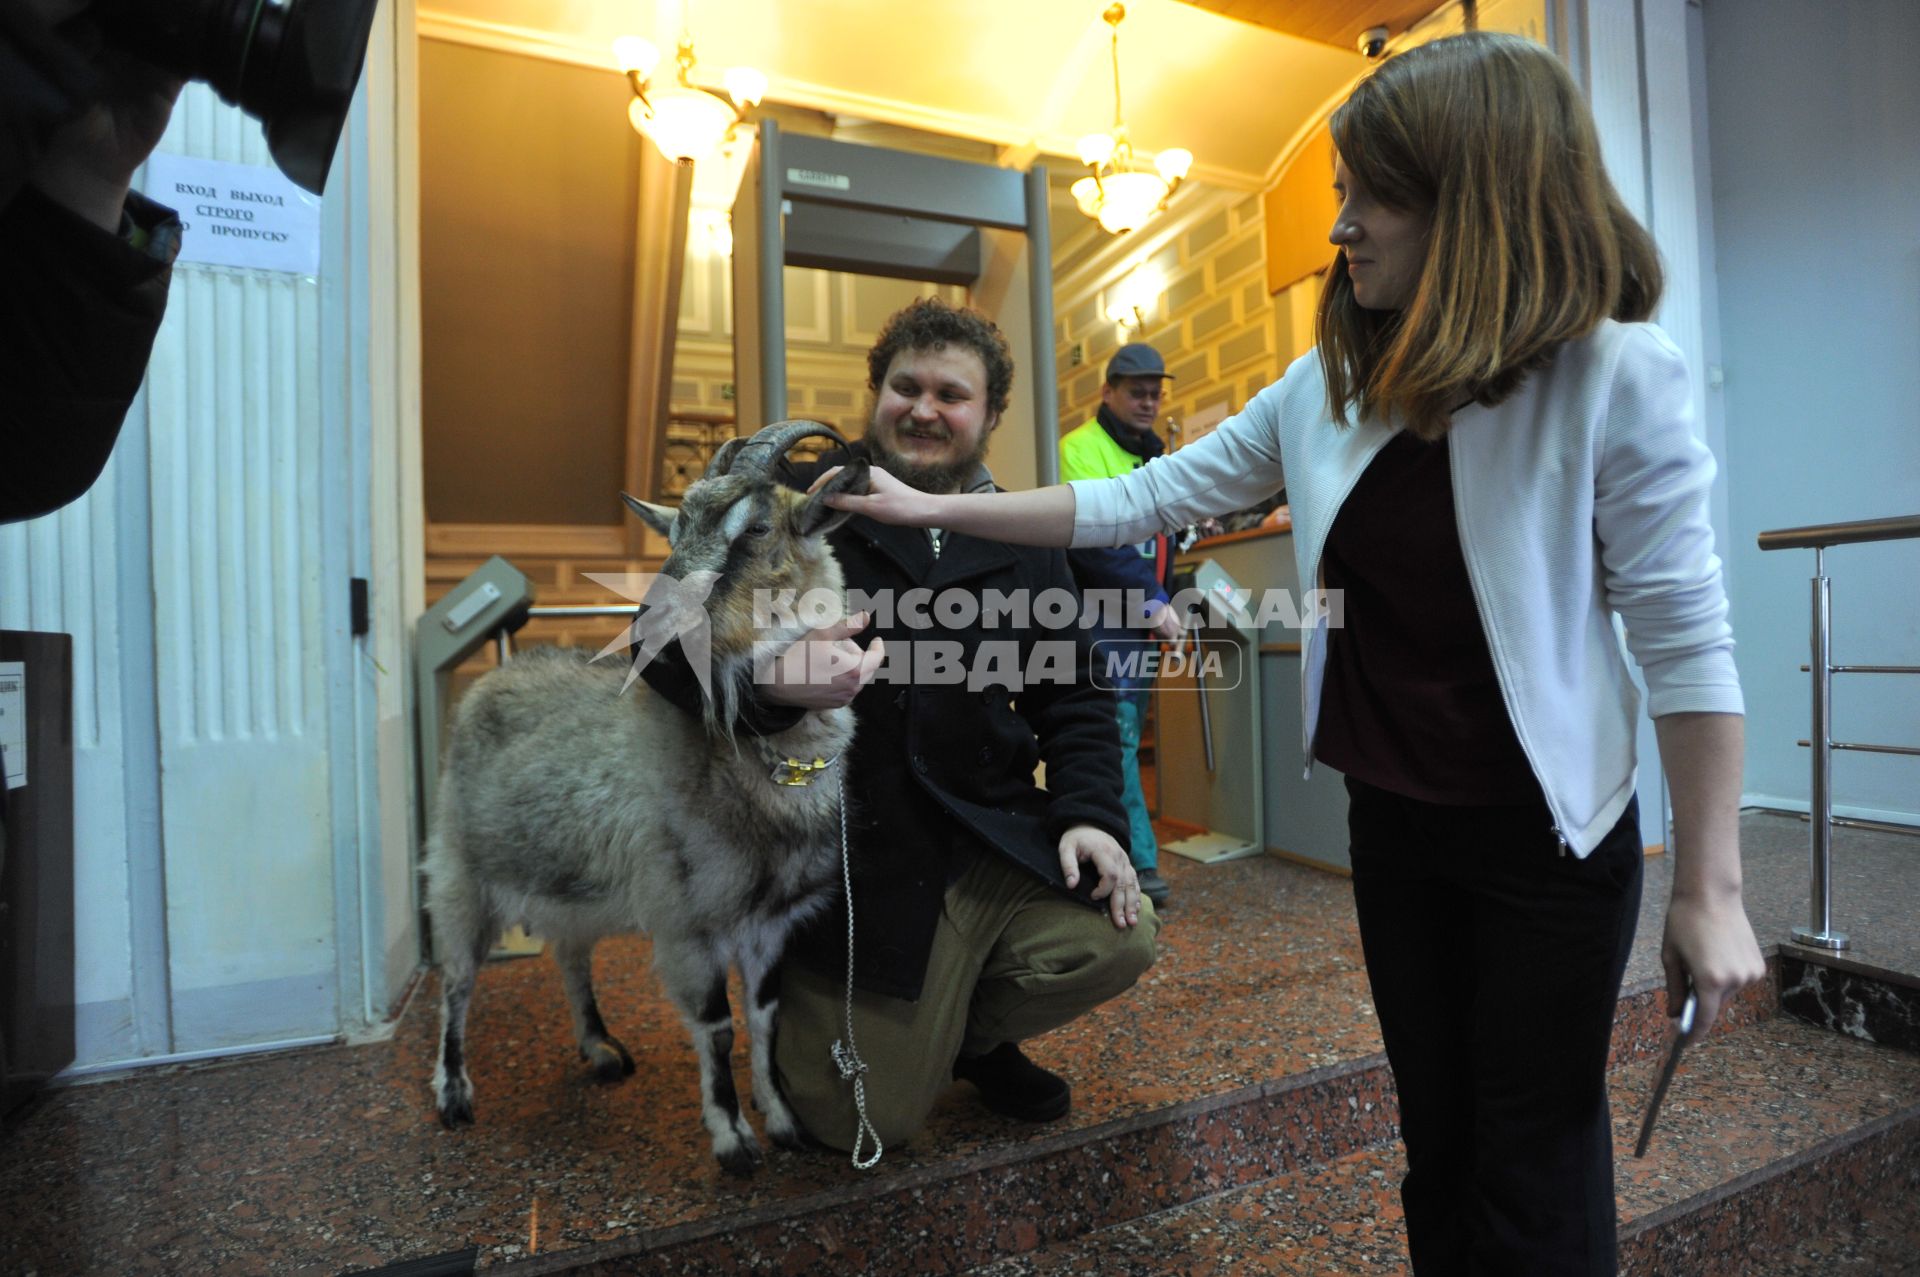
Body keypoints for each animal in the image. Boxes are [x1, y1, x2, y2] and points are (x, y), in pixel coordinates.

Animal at [426, 426, 871, 1175]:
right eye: (677, 530)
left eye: (755, 530)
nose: (651, 625)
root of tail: (489, 680)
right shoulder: (686, 918)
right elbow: (718, 1027)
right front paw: (733, 1140)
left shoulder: (768, 923)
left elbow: (766, 1016)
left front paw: (784, 1120)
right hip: (463, 871)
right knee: (457, 981)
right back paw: (454, 1094)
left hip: (565, 881)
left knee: (570, 955)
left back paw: (601, 1048)